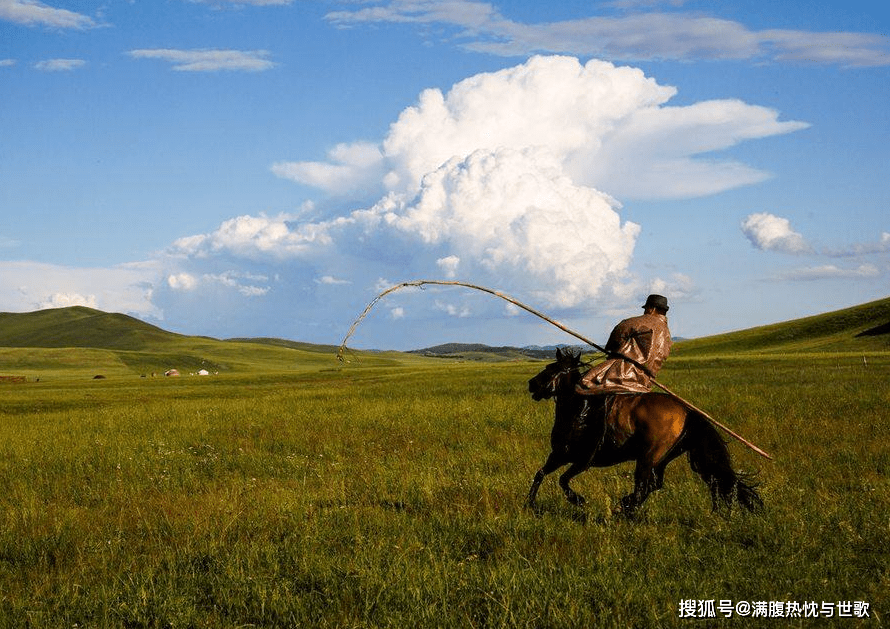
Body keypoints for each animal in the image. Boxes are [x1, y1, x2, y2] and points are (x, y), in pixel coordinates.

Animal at [524, 346, 760, 516]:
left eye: (552, 368)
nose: (531, 384)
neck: (578, 410)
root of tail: (686, 410)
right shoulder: (559, 455)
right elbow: (540, 474)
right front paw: (529, 505)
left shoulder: (581, 460)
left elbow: (563, 480)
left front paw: (579, 500)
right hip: (663, 457)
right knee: (654, 484)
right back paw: (625, 507)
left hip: (649, 456)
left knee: (643, 486)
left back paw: (623, 510)